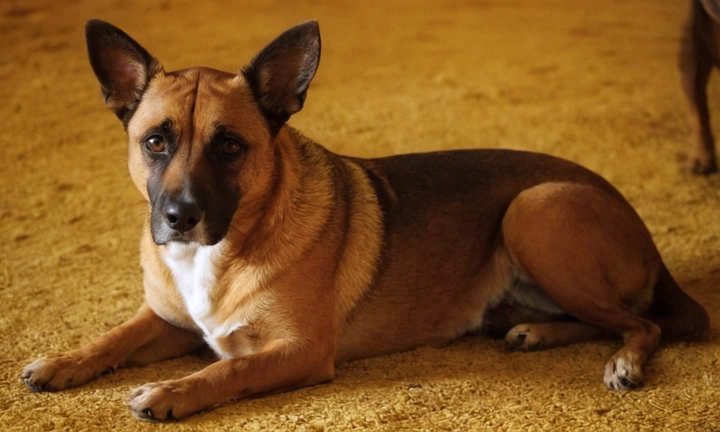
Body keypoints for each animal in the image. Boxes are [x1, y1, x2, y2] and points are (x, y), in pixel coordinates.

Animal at [21, 18, 708, 420]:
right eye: (155, 142)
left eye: (230, 146)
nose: (179, 217)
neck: (223, 247)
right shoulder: (168, 320)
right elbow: (113, 336)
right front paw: (61, 362)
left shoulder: (297, 350)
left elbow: (228, 368)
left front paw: (169, 392)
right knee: (602, 318)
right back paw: (533, 332)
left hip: (532, 209)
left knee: (643, 324)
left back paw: (621, 362)